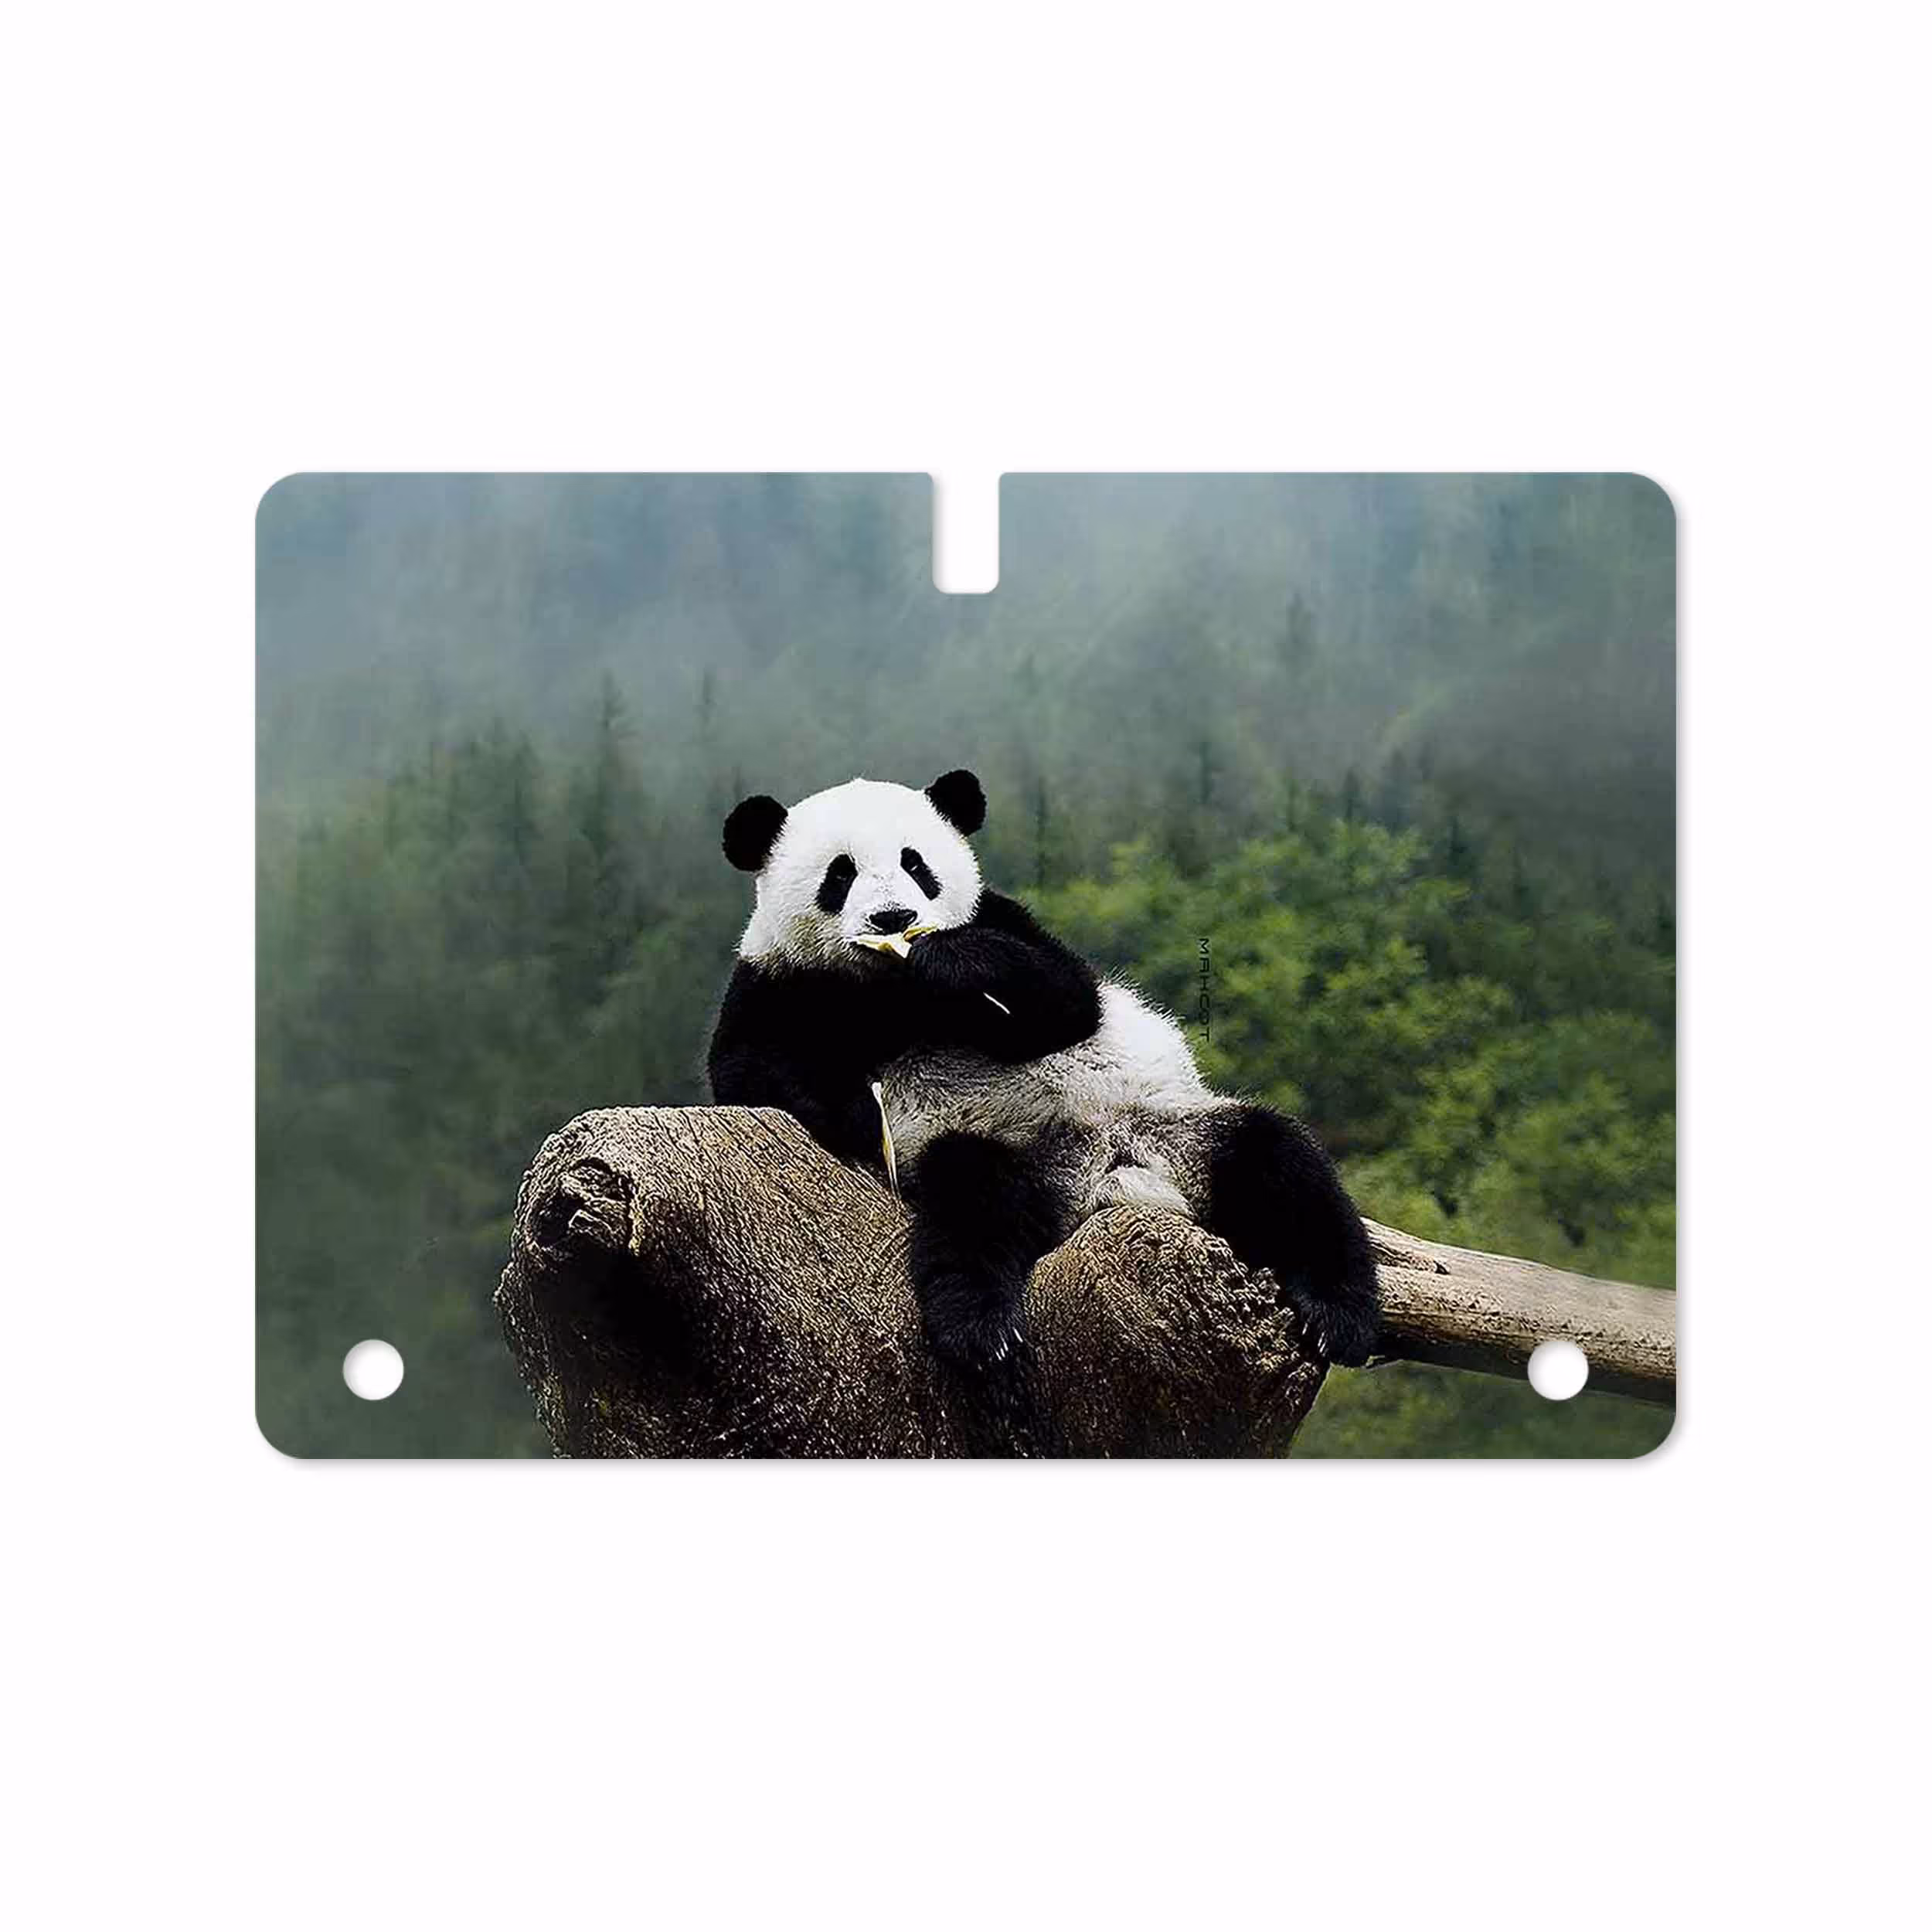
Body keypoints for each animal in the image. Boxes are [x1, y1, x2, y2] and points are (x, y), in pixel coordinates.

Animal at [707, 768, 1381, 1375]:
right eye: (840, 874)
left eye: (916, 865)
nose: (894, 919)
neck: (889, 989)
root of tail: (1106, 1177)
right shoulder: (776, 981)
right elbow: (748, 1071)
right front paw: (856, 1113)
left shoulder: (1003, 919)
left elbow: (1068, 999)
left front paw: (951, 961)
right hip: (1001, 1151)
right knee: (974, 1202)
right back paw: (980, 1328)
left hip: (1178, 1130)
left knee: (1282, 1164)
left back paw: (1338, 1315)